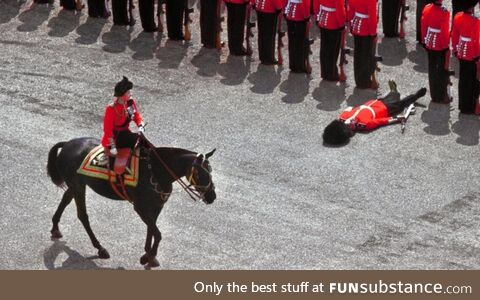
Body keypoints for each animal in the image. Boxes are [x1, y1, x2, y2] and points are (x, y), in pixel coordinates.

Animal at [46, 136, 216, 268]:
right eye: (200, 173)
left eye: (211, 171)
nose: (212, 196)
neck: (156, 170)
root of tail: (67, 143)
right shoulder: (140, 208)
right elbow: (158, 233)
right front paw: (149, 256)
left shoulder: (156, 207)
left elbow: (152, 230)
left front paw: (148, 254)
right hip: (78, 186)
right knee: (82, 215)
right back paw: (100, 248)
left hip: (75, 185)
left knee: (66, 200)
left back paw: (55, 227)